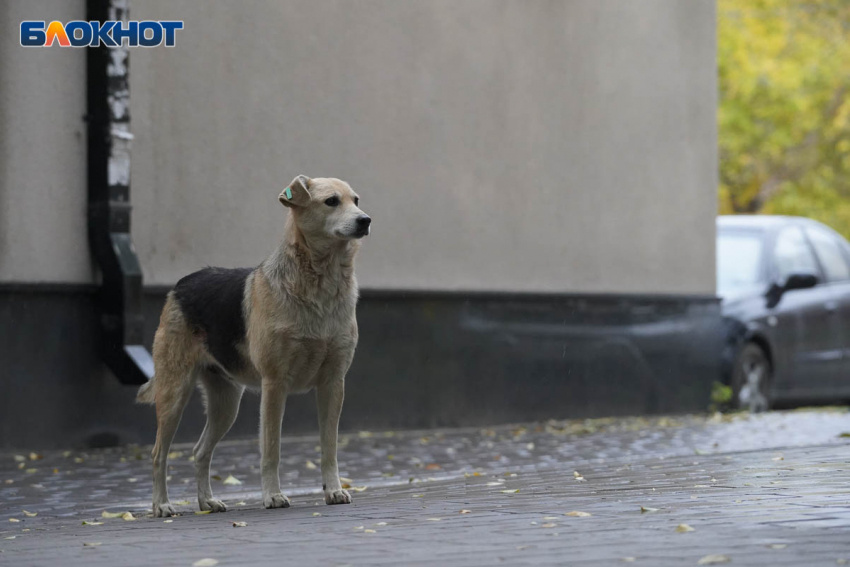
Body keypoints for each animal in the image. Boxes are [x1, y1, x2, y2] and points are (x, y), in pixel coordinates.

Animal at [136, 178, 368, 520]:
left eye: (356, 200)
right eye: (331, 202)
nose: (365, 220)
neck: (318, 285)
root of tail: (181, 284)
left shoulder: (332, 384)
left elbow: (329, 447)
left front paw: (334, 490)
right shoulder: (275, 385)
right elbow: (271, 448)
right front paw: (272, 495)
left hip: (226, 404)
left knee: (200, 451)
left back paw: (207, 502)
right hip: (174, 394)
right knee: (158, 454)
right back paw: (161, 505)